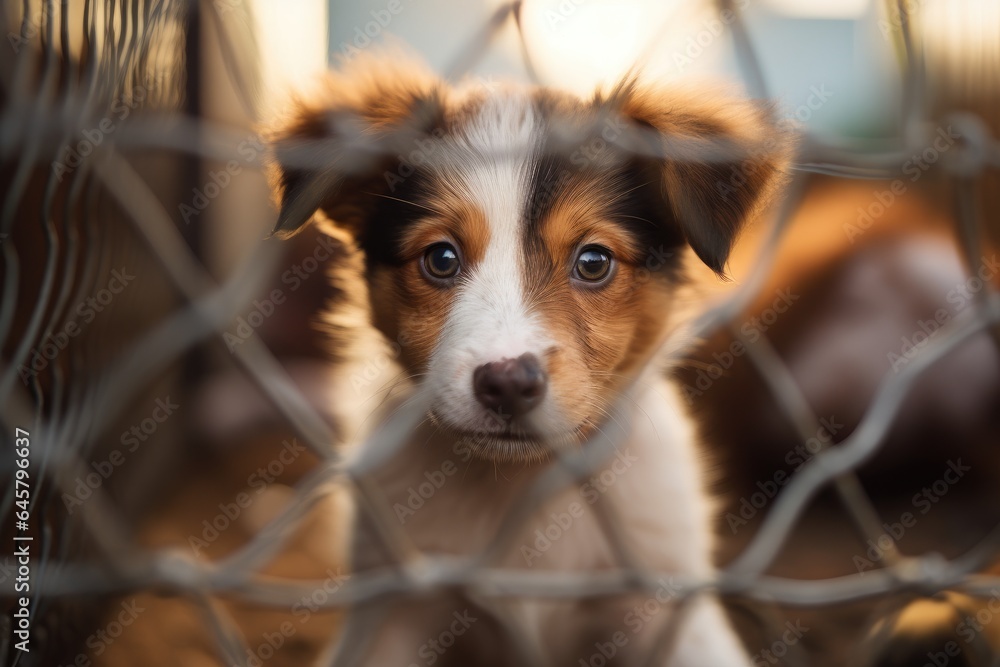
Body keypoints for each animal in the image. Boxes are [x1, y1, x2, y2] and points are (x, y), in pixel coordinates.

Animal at [270, 56, 792, 667]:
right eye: (440, 258)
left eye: (593, 261)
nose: (507, 384)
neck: (521, 484)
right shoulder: (388, 612)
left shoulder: (669, 606)